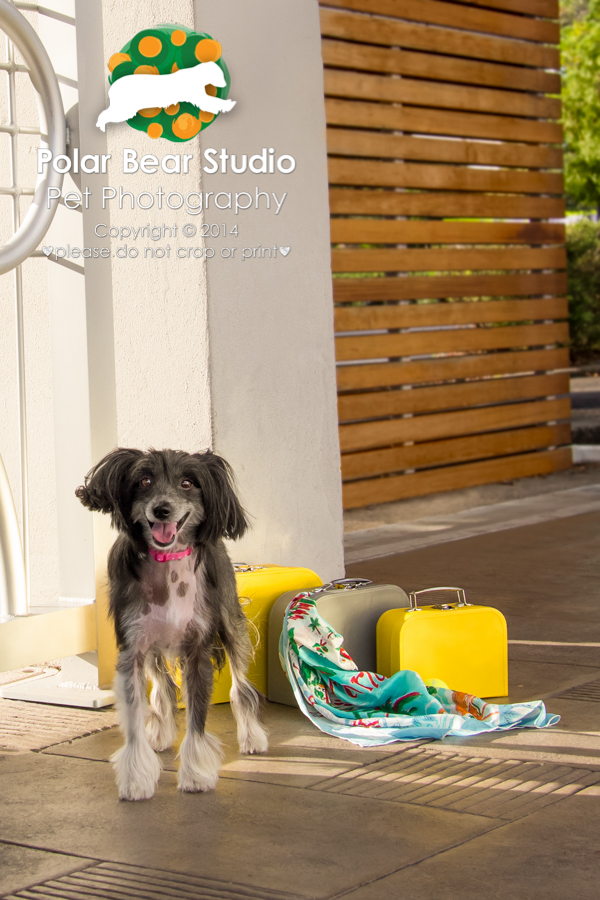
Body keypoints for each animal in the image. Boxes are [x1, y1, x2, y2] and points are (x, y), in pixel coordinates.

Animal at [75, 450, 268, 800]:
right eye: (144, 480)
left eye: (188, 483)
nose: (161, 509)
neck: (167, 563)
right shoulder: (132, 650)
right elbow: (134, 719)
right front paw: (136, 778)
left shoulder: (197, 650)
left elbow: (197, 719)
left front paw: (196, 774)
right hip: (152, 648)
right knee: (163, 688)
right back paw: (161, 734)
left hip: (230, 624)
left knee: (241, 687)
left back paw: (252, 737)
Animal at [96, 61, 234, 132]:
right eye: (220, 75)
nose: (226, 84)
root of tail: (112, 88)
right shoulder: (197, 95)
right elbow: (212, 101)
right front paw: (228, 105)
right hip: (125, 108)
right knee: (104, 114)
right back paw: (101, 126)